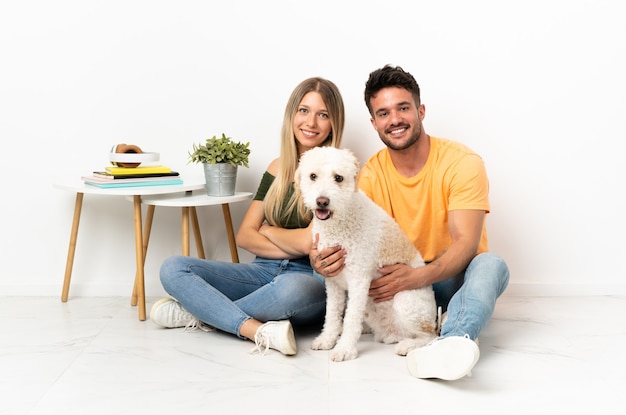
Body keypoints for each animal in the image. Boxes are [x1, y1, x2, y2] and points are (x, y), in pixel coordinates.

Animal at [294, 148, 436, 362]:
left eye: (338, 178)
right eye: (313, 176)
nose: (322, 201)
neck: (342, 220)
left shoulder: (359, 280)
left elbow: (351, 319)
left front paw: (344, 349)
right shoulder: (333, 281)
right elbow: (332, 314)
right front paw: (327, 340)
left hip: (406, 301)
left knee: (430, 336)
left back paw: (408, 345)